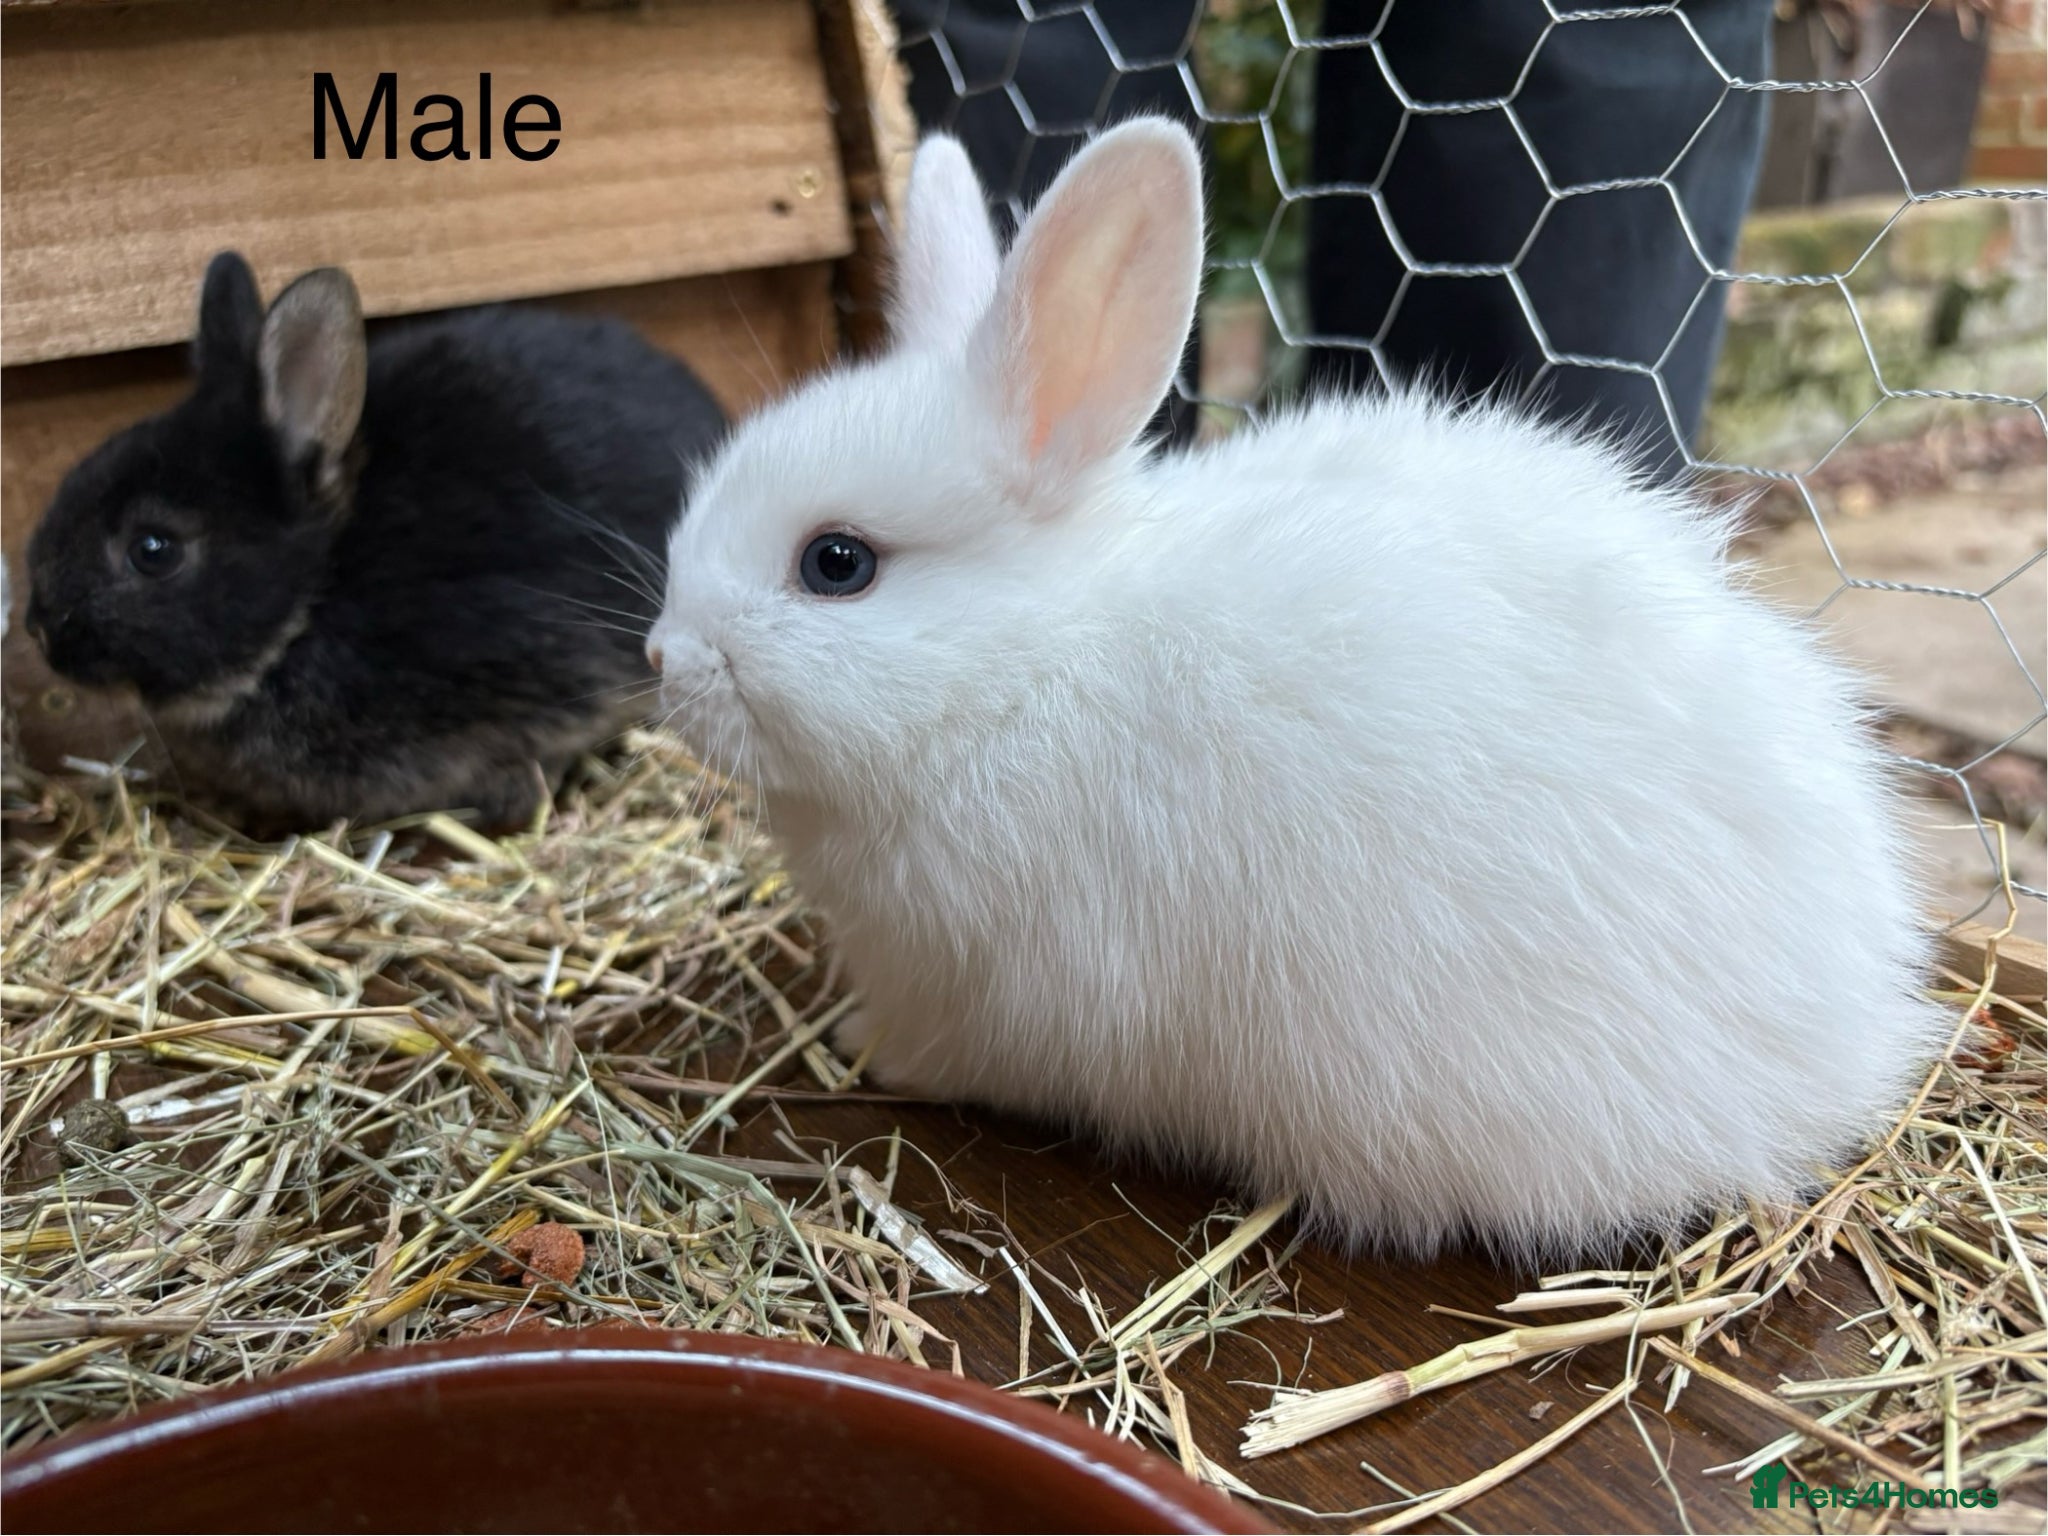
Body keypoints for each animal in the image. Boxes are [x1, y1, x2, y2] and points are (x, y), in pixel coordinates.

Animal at [644, 119, 1950, 1257]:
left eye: (836, 563)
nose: (661, 659)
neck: (1015, 668)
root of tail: (1854, 1036)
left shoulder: (989, 997)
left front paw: (869, 1049)